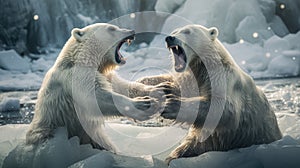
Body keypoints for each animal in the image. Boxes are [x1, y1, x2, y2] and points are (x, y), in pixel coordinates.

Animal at [25, 23, 162, 151]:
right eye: (111, 28)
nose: (132, 31)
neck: (79, 58)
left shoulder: (105, 75)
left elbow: (121, 87)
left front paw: (157, 90)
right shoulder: (76, 75)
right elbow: (94, 97)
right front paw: (143, 104)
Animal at [137, 24, 282, 163]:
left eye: (187, 32)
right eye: (174, 31)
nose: (169, 38)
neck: (204, 67)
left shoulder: (223, 79)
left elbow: (223, 108)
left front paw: (171, 104)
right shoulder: (192, 79)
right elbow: (179, 84)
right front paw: (150, 83)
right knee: (184, 149)